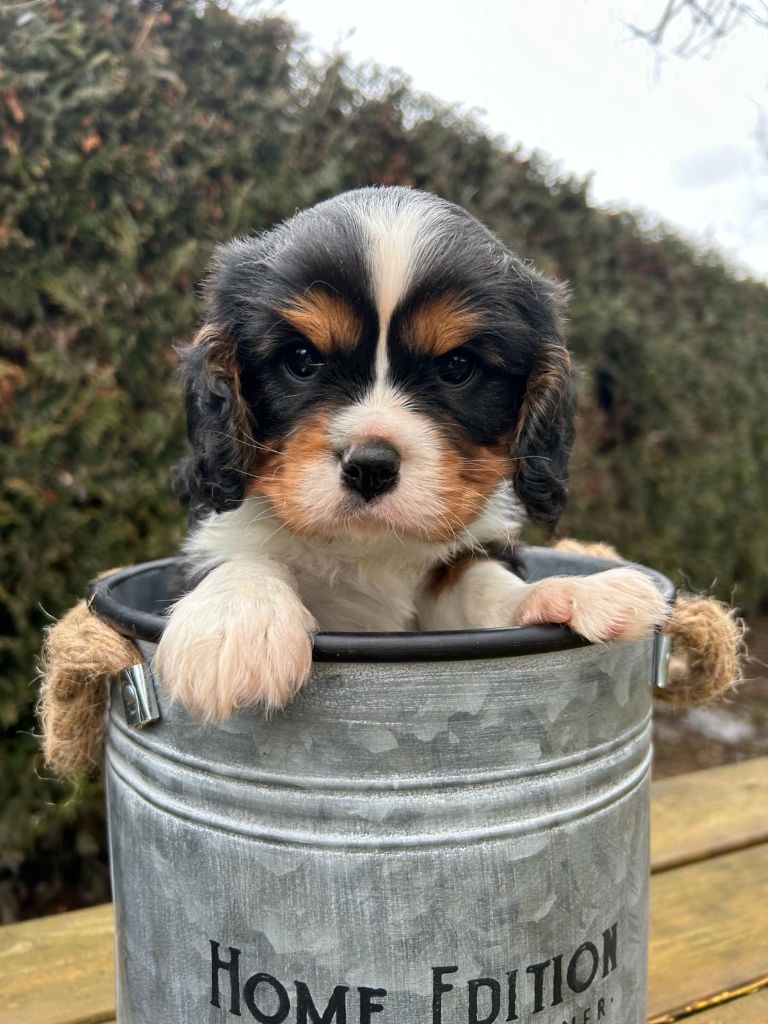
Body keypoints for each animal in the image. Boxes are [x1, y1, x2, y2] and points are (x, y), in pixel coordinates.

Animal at [156, 190, 667, 720]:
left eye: (457, 367)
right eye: (301, 360)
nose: (370, 467)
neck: (369, 548)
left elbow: (481, 584)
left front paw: (568, 592)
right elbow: (245, 555)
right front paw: (234, 622)